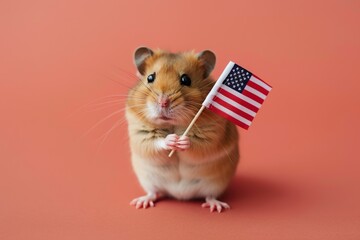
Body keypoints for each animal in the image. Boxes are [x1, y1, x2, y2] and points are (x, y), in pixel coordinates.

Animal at [126, 47, 239, 212]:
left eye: (186, 80)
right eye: (150, 78)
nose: (163, 102)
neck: (172, 125)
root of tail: (179, 195)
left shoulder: (212, 135)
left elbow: (197, 145)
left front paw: (182, 141)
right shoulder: (140, 134)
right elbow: (155, 142)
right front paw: (172, 140)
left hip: (216, 183)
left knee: (210, 196)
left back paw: (217, 207)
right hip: (148, 180)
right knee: (153, 193)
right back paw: (141, 203)